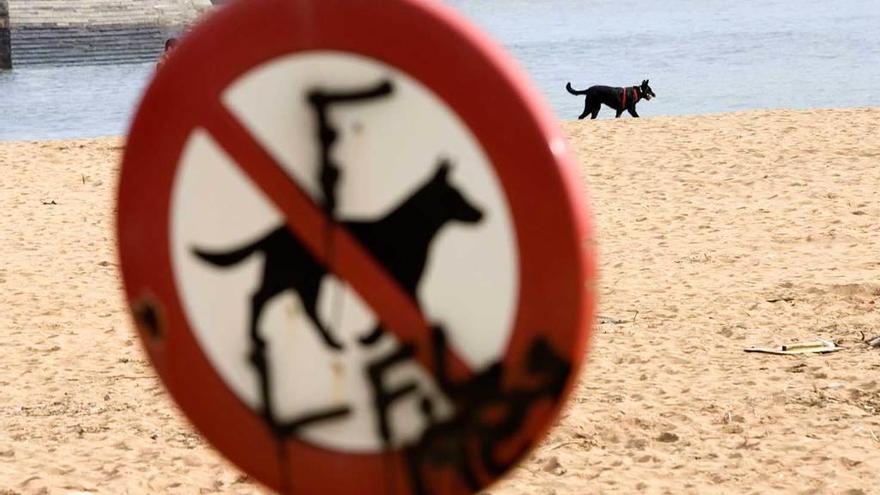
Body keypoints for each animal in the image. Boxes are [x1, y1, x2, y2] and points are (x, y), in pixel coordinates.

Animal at [191, 163, 488, 352]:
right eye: (459, 196)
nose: (482, 212)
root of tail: (277, 229)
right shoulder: (406, 283)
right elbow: (408, 315)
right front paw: (375, 340)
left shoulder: (402, 286)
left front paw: (372, 339)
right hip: (287, 275)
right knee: (259, 298)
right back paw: (259, 339)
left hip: (301, 280)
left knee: (303, 308)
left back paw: (330, 341)